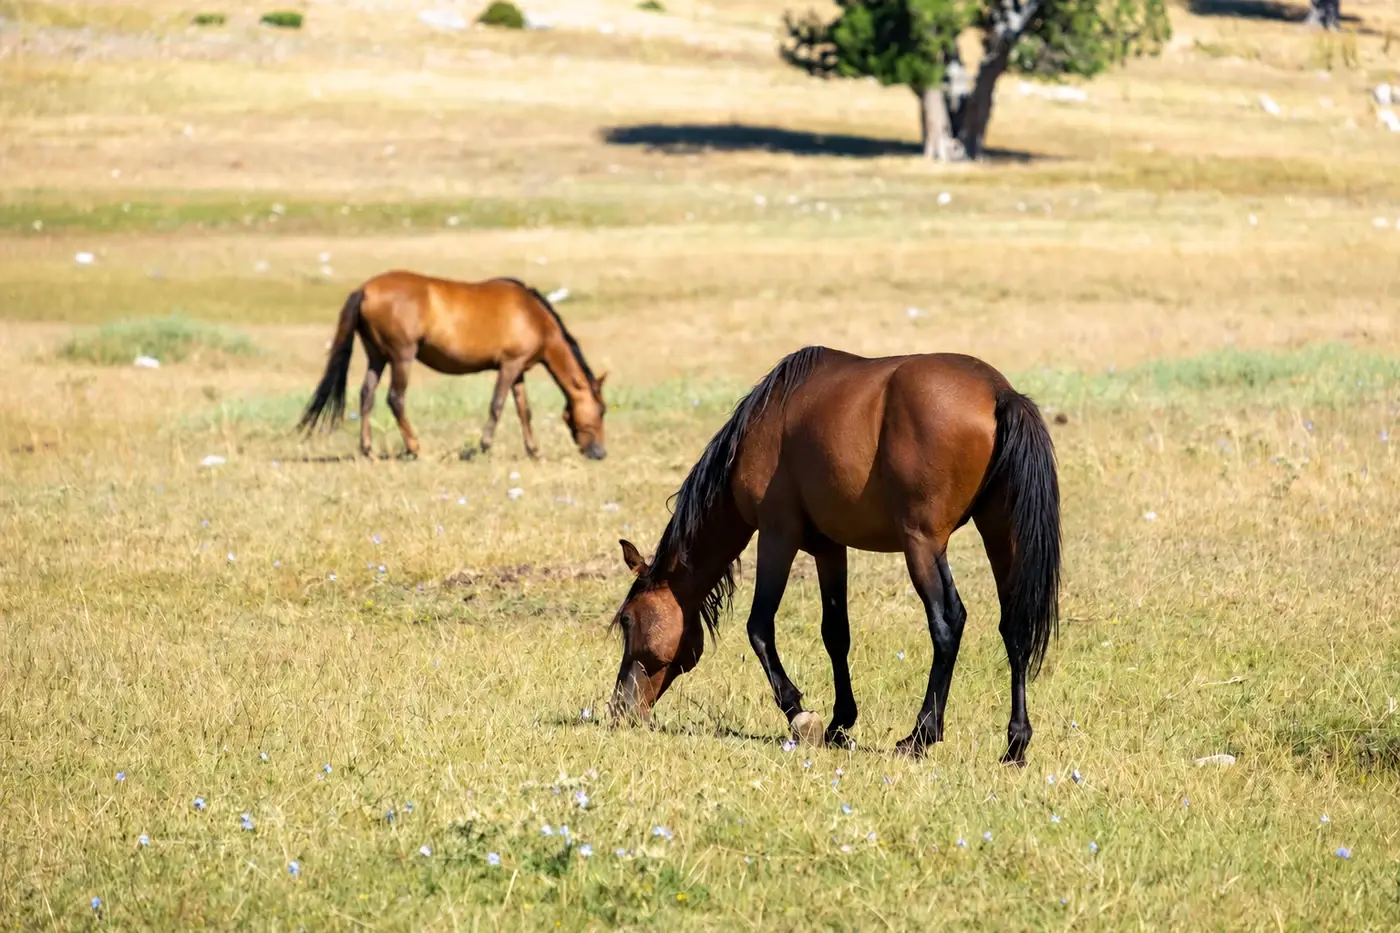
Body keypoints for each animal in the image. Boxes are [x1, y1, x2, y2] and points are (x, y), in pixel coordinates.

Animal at [298, 271, 608, 460]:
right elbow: (497, 405)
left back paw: (368, 450)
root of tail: (365, 289)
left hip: (377, 357)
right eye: (602, 410)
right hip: (401, 357)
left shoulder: (518, 371)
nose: (599, 453)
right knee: (395, 399)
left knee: (366, 396)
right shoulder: (509, 366)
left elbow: (524, 411)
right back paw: (414, 448)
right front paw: (483, 447)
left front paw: (533, 451)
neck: (532, 315)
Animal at [606, 346, 1061, 765]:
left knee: (947, 623)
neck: (767, 420)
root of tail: (999, 393)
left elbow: (759, 627)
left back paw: (921, 735)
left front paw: (800, 715)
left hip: (923, 543)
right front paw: (841, 723)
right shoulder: (829, 549)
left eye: (627, 620)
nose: (619, 709)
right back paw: (1015, 744)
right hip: (1001, 535)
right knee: (1014, 627)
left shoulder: (777, 535)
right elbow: (835, 633)